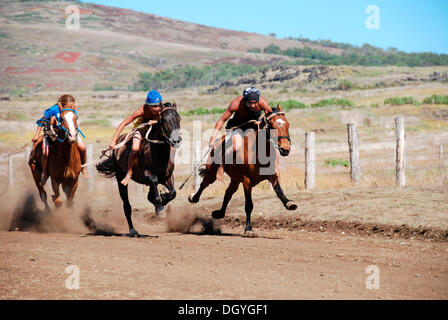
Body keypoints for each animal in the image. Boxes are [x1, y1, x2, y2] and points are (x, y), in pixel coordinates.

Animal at [96, 103, 182, 238]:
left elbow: (173, 193)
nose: (176, 140)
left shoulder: (168, 176)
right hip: (121, 178)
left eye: (179, 118)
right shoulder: (146, 174)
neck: (157, 151)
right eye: (164, 119)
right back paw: (132, 230)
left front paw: (163, 199)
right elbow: (154, 181)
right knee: (127, 205)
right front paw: (160, 207)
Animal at [188, 106, 298, 236]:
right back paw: (194, 198)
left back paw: (219, 213)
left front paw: (289, 203)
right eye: (272, 125)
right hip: (212, 172)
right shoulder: (247, 181)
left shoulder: (272, 175)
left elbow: (279, 190)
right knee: (204, 184)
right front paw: (248, 229)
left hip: (235, 179)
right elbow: (249, 205)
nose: (285, 149)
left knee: (228, 193)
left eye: (287, 124)